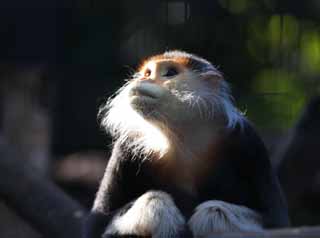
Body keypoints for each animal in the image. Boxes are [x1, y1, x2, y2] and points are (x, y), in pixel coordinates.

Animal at [84, 50, 288, 238]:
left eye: (170, 72)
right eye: (148, 73)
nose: (144, 78)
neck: (181, 137)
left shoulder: (249, 140)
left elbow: (276, 221)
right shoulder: (126, 145)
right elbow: (96, 224)